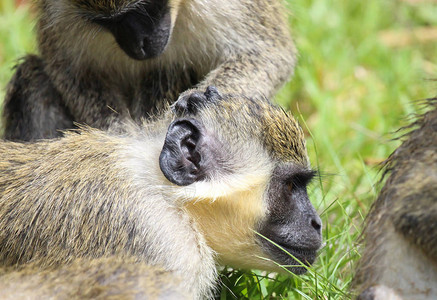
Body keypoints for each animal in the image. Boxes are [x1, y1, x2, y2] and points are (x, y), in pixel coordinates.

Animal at [1, 0, 294, 141]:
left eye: (144, 9)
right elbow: (70, 70)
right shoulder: (59, 13)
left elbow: (270, 54)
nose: (138, 45)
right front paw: (119, 136)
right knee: (34, 78)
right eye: (111, 22)